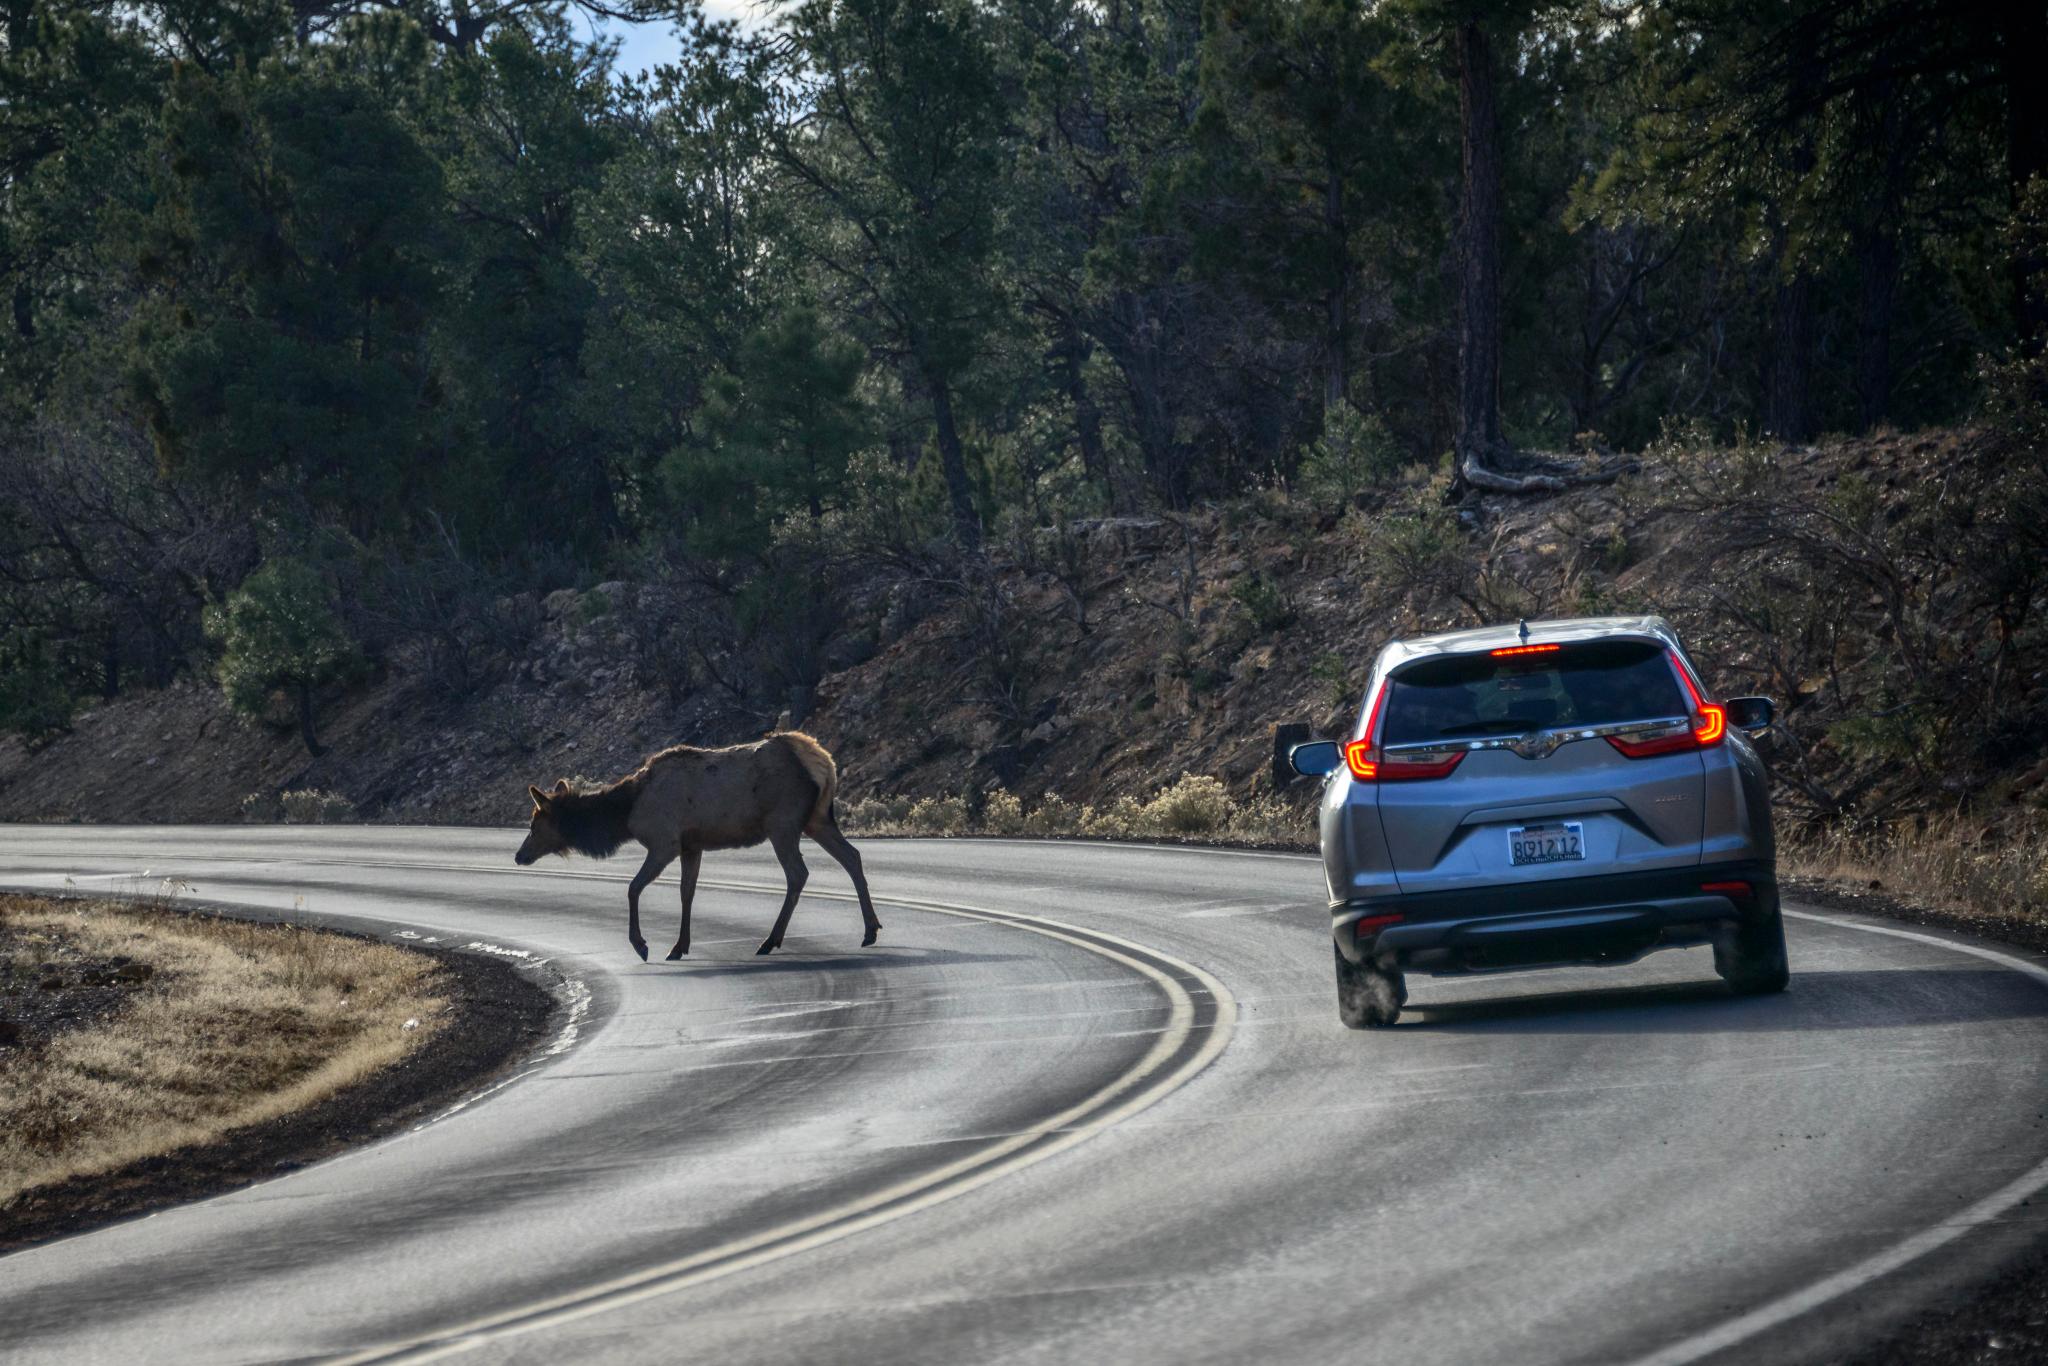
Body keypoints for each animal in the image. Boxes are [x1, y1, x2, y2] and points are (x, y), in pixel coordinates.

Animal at [513, 731, 880, 962]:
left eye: (534, 823)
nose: (519, 855)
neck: (626, 812)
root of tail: (824, 763)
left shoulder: (665, 841)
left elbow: (633, 888)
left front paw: (641, 944)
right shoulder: (693, 845)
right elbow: (686, 892)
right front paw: (679, 946)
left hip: (783, 822)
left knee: (798, 873)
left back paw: (770, 940)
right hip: (817, 819)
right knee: (853, 856)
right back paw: (870, 930)